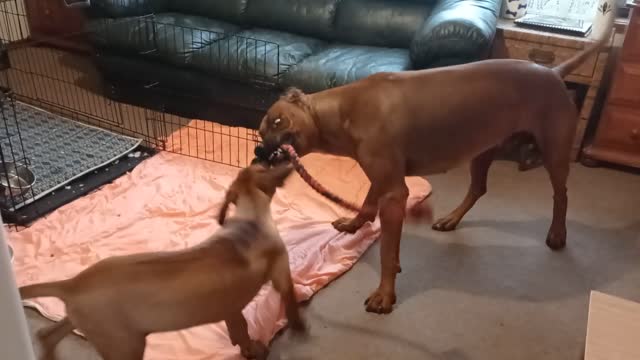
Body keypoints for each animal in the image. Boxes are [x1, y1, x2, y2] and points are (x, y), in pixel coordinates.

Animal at [21, 164, 306, 360]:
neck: (251, 220)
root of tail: (72, 283)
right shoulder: (281, 275)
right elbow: (286, 302)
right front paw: (295, 328)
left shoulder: (230, 309)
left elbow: (240, 330)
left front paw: (248, 347)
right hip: (125, 345)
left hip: (84, 320)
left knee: (47, 335)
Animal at [258, 18, 616, 314]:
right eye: (261, 132)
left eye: (277, 121)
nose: (259, 150)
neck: (346, 111)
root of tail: (552, 72)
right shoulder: (384, 180)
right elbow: (367, 204)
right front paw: (354, 224)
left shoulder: (394, 192)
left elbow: (387, 253)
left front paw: (385, 295)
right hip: (482, 150)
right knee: (479, 188)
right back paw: (452, 218)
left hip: (554, 152)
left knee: (561, 194)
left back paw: (557, 233)